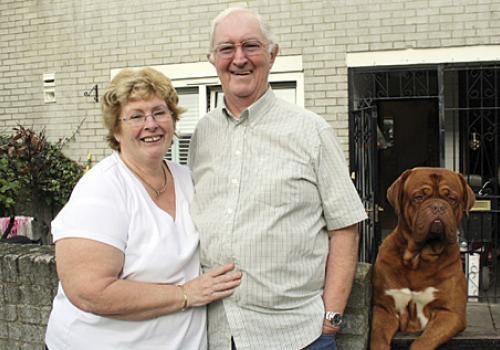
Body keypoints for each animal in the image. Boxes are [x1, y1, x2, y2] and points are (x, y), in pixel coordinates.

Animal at [370, 167, 474, 350]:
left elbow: (424, 341)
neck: (419, 258)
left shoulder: (450, 312)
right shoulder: (384, 308)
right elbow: (378, 337)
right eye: (419, 198)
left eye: (452, 199)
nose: (438, 206)